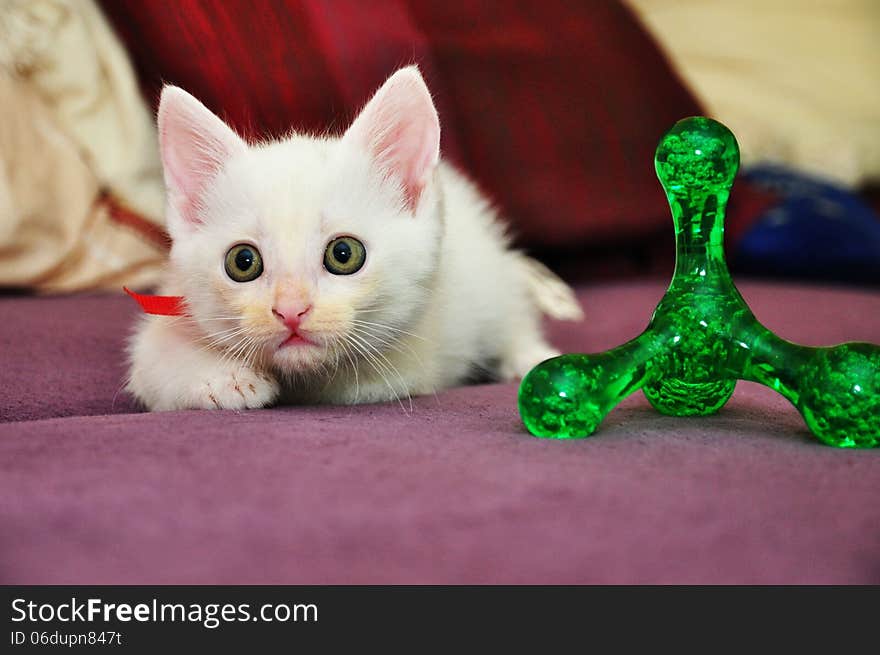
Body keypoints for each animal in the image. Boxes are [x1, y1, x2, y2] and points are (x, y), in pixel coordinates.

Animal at [127, 64, 584, 408]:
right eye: (242, 262)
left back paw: (530, 354)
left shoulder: (408, 363)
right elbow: (153, 363)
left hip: (488, 279)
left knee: (511, 315)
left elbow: (356, 380)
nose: (290, 311)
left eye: (344, 254)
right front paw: (221, 379)